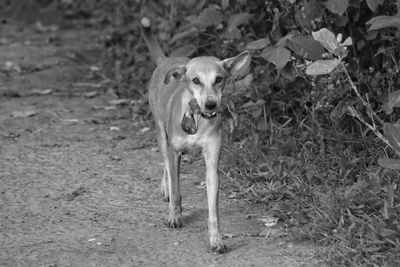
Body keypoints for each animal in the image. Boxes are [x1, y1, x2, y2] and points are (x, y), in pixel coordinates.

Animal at [141, 17, 250, 254]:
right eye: (196, 80)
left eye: (219, 79)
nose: (210, 104)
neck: (197, 119)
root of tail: (166, 60)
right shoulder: (174, 152)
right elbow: (176, 188)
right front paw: (174, 215)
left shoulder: (212, 164)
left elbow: (213, 210)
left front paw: (216, 239)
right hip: (160, 131)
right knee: (165, 162)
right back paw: (166, 189)